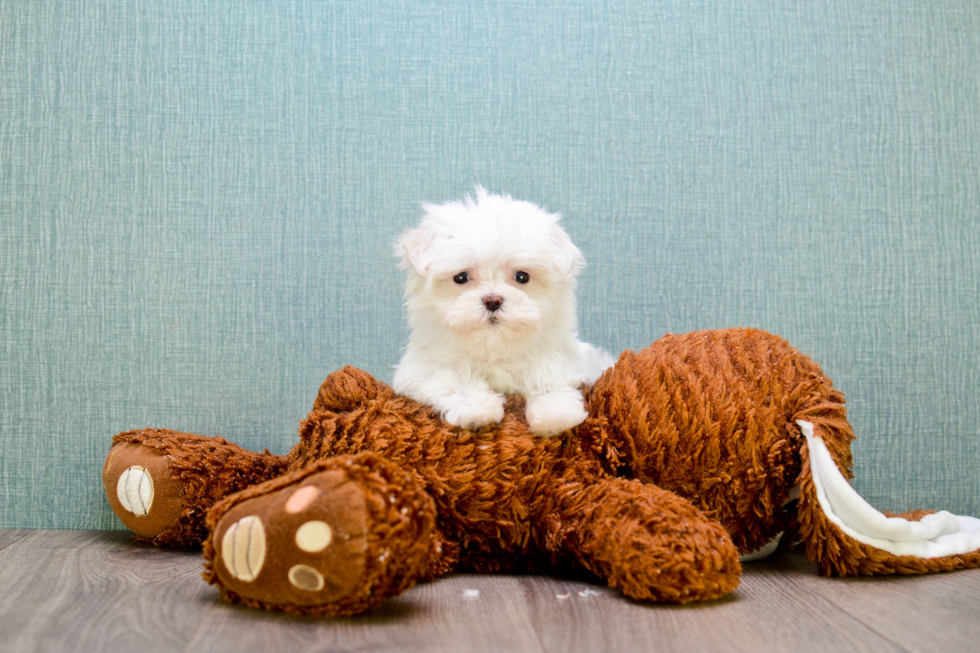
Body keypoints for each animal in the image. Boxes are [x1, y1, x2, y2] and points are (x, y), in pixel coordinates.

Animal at [392, 186, 612, 436]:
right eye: (461, 277)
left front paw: (555, 415)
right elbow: (451, 379)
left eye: (522, 276)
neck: (493, 348)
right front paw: (477, 411)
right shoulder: (421, 369)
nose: (492, 300)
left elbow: (549, 378)